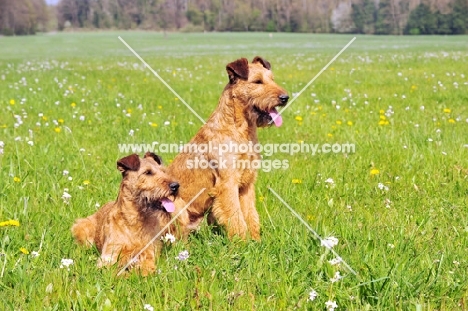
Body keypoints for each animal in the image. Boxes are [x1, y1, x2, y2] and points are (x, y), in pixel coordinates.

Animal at [166, 56, 288, 241]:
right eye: (257, 81)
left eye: (272, 79)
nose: (285, 97)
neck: (241, 129)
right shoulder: (228, 183)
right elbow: (236, 217)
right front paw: (243, 243)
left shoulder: (246, 184)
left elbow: (251, 214)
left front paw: (256, 240)